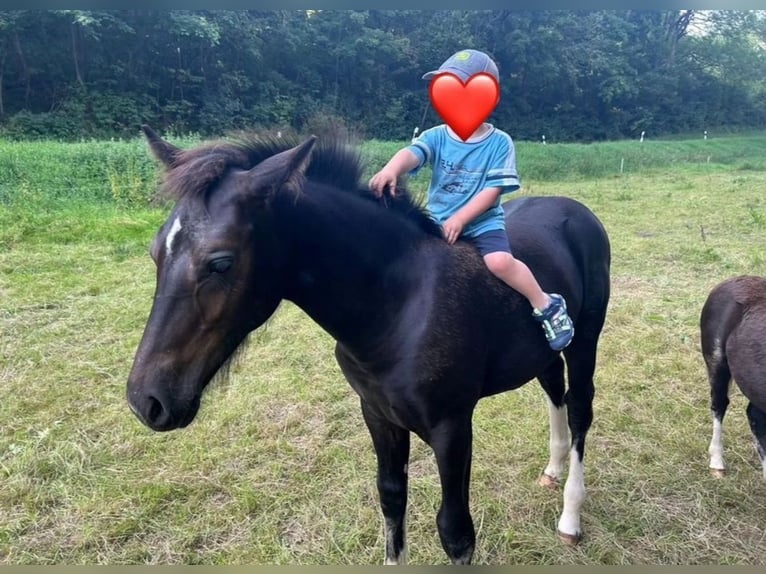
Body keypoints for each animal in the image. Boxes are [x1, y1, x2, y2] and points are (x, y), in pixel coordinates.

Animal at [126, 125, 611, 564]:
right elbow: (392, 501)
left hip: (585, 339)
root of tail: (575, 210)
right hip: (540, 354)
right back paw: (552, 470)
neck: (399, 306)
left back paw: (570, 518)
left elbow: (455, 532)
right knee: (553, 389)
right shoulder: (377, 415)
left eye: (221, 262)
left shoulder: (453, 427)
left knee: (579, 407)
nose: (147, 401)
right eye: (155, 252)